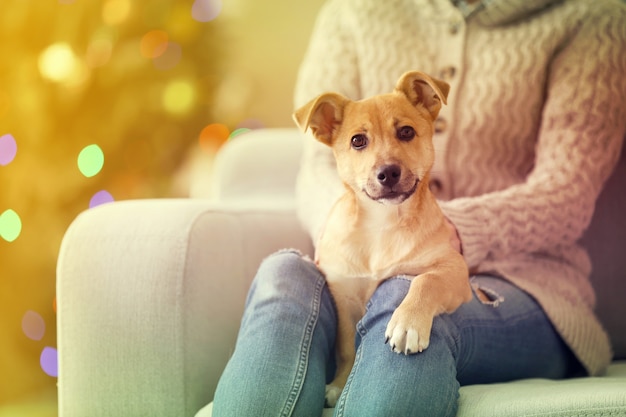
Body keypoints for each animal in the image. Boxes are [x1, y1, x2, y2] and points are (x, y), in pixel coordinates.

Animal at [294, 70, 470, 404]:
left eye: (406, 132)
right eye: (357, 141)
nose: (388, 173)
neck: (382, 223)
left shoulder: (454, 270)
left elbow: (426, 281)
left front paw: (407, 323)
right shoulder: (344, 296)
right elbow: (346, 346)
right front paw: (341, 383)